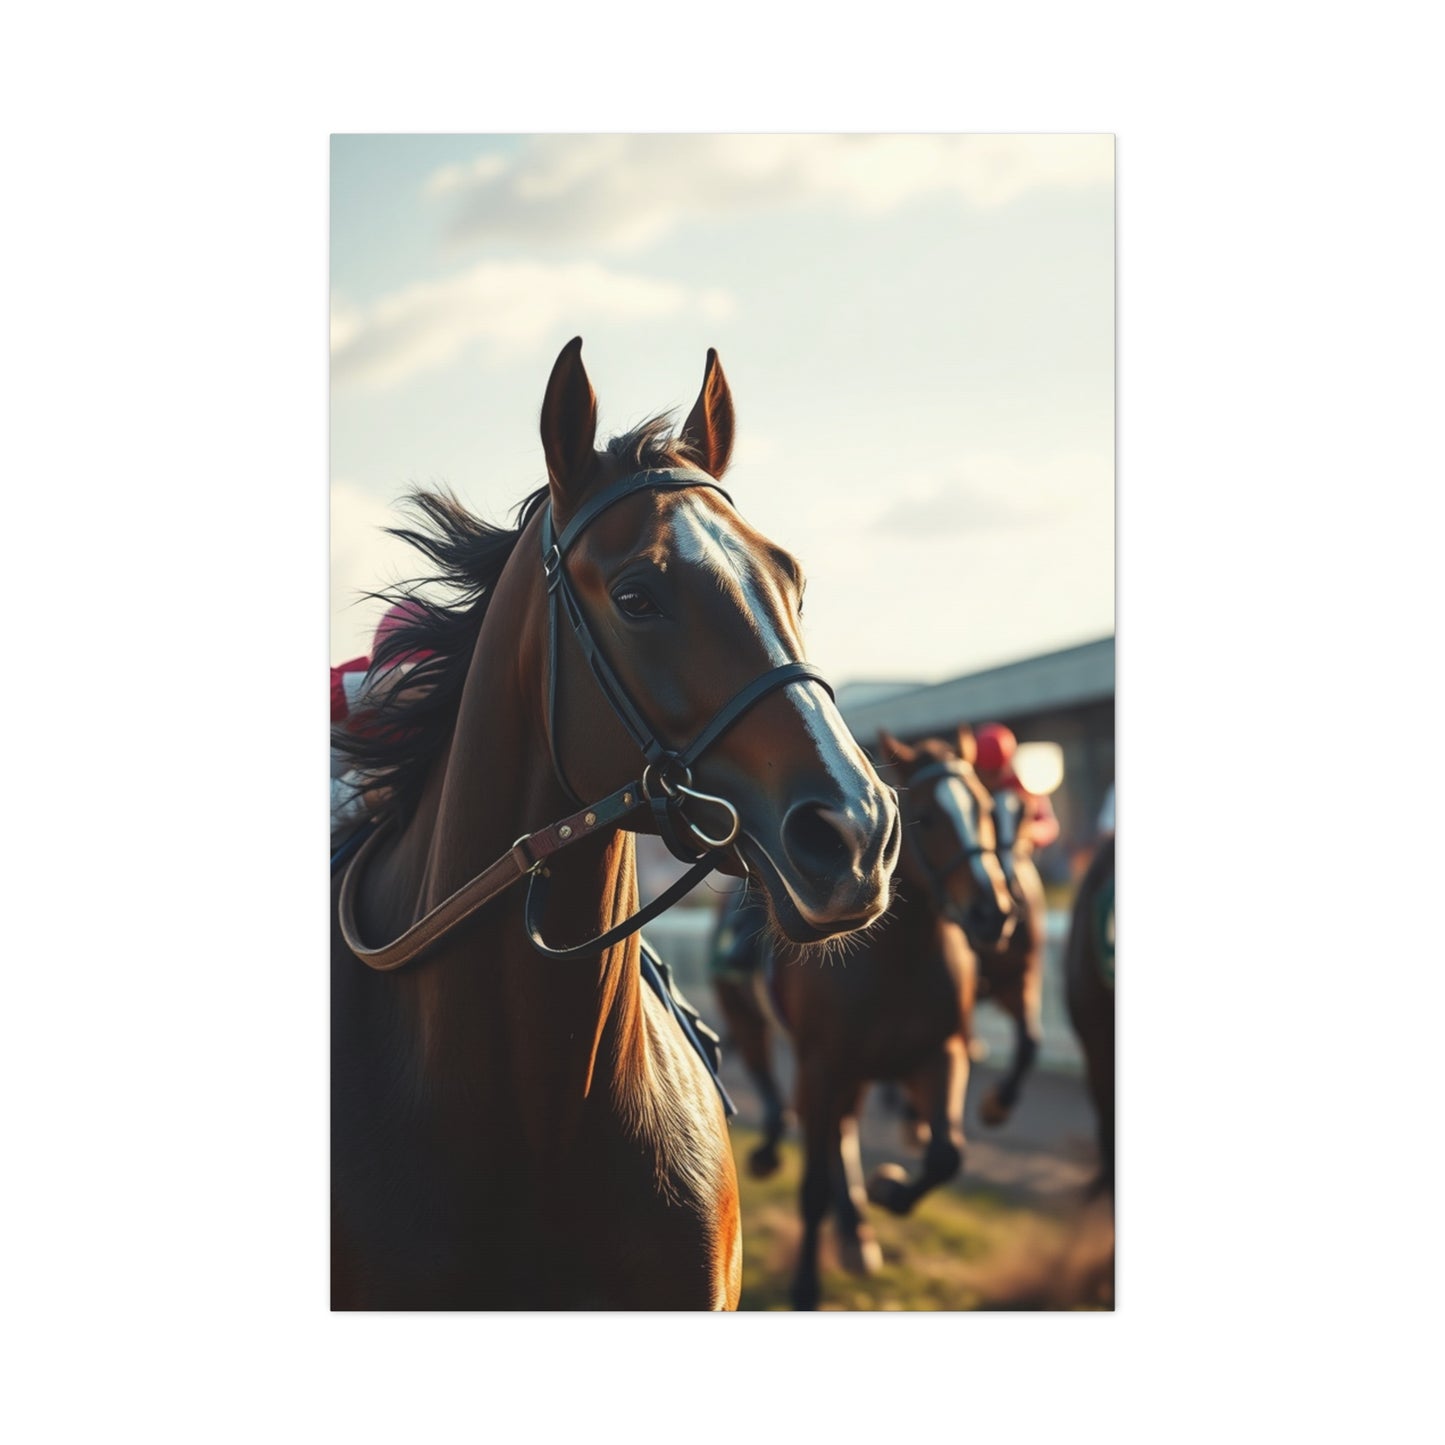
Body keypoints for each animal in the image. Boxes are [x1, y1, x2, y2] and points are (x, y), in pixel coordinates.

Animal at [713, 727, 1021, 1309]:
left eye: (986, 808)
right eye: (927, 816)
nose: (992, 913)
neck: (896, 961)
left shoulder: (940, 1052)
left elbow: (947, 1155)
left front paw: (888, 1189)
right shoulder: (821, 1063)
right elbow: (812, 1180)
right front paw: (805, 1285)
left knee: (844, 1129)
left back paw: (855, 1228)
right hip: (747, 1014)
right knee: (769, 1077)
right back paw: (773, 1153)